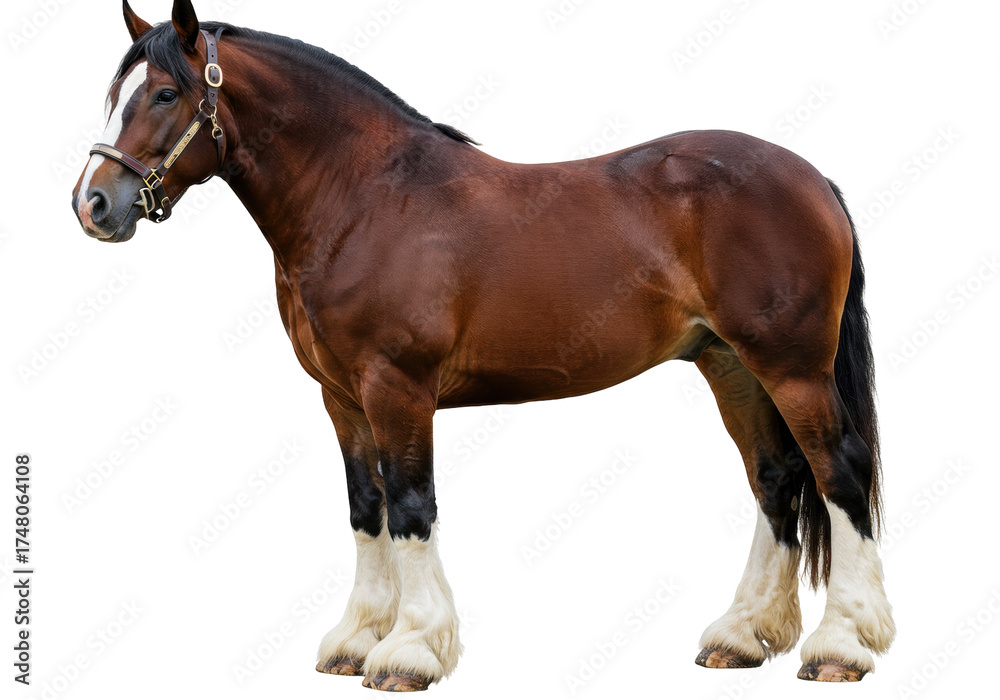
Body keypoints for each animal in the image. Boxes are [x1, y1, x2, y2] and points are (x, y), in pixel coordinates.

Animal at [72, 0, 895, 690]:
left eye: (166, 94)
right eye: (118, 94)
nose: (93, 203)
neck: (362, 198)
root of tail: (811, 178)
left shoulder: (397, 387)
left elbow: (411, 505)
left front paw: (409, 650)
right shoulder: (340, 396)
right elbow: (365, 506)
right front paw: (356, 640)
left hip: (791, 367)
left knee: (839, 472)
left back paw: (841, 646)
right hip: (731, 366)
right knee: (776, 479)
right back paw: (743, 636)